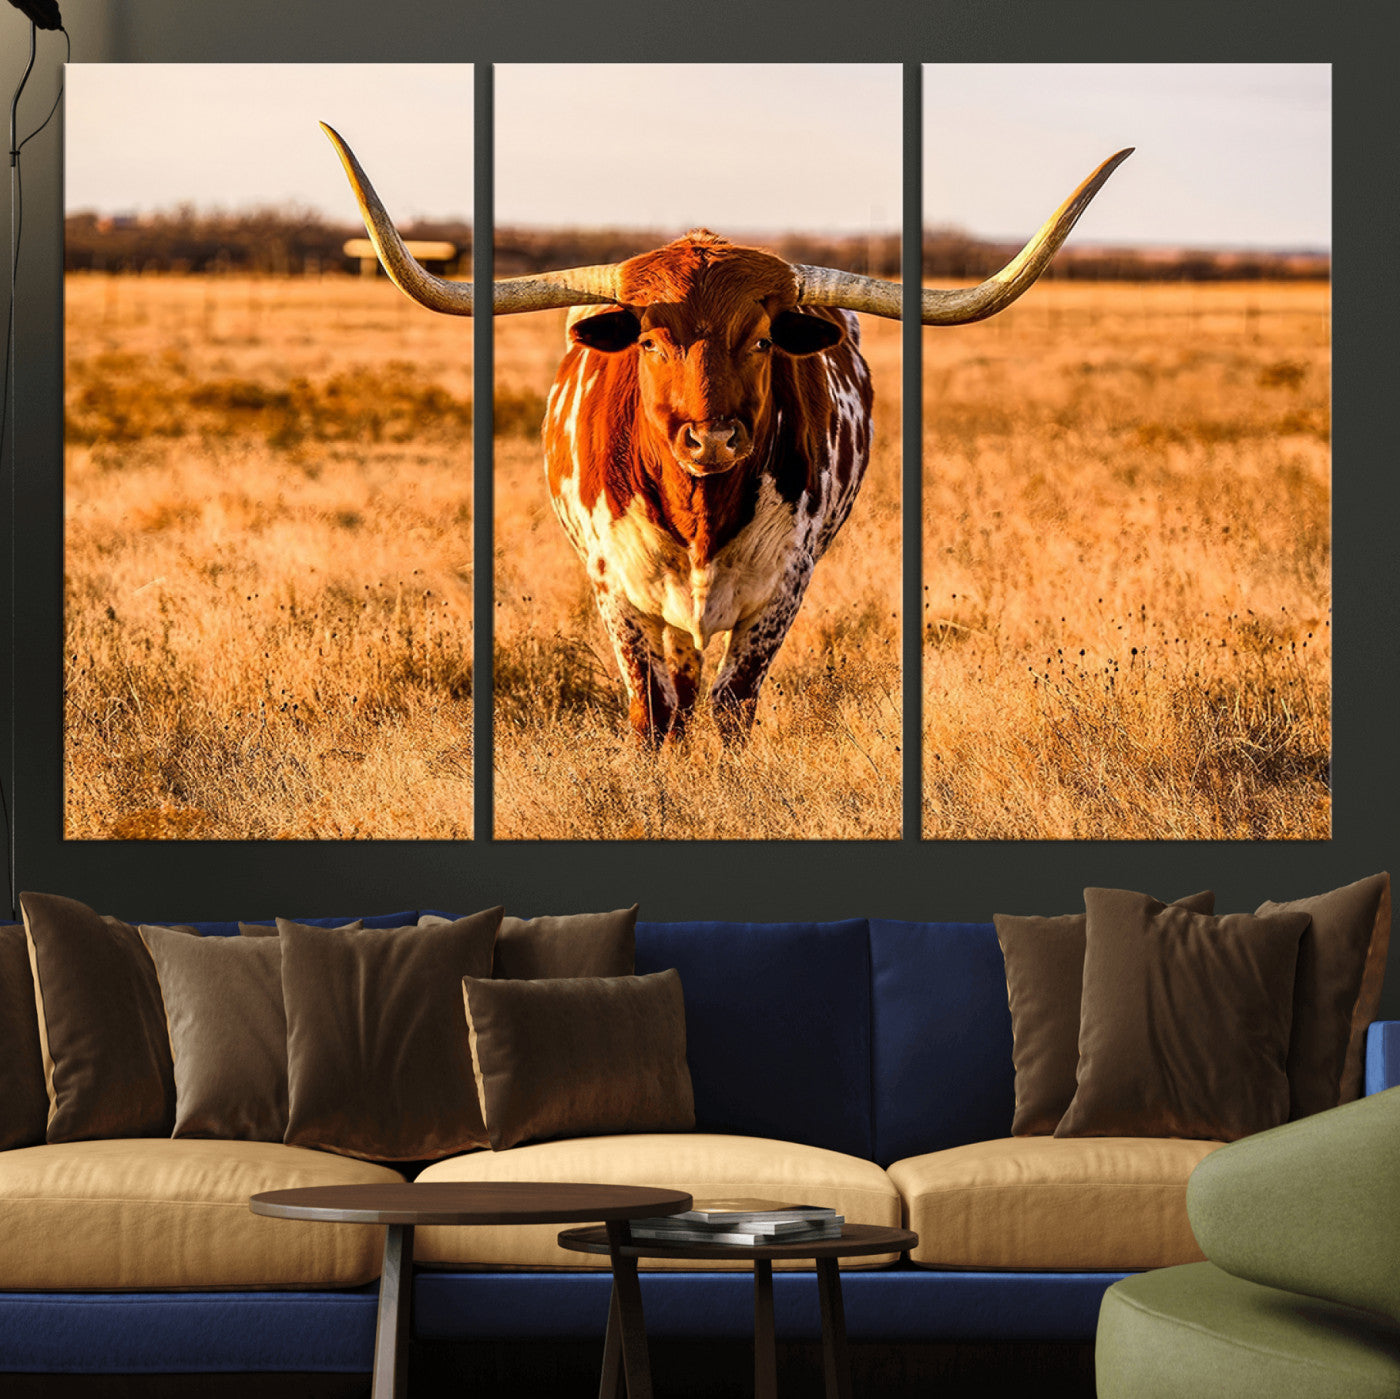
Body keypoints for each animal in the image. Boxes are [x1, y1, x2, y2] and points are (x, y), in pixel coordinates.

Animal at [322, 124, 1130, 744]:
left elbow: (733, 705)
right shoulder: (615, 589)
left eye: (764, 340)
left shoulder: (783, 588)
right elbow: (653, 711)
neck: (701, 513)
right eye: (650, 342)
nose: (710, 440)